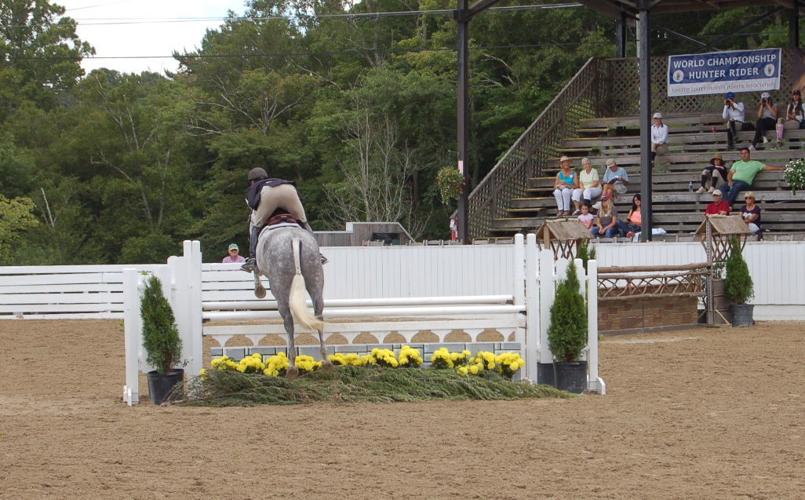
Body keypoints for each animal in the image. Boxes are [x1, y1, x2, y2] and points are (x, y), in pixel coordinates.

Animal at [254, 223, 328, 377]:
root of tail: (294, 238)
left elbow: (256, 271)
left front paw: (259, 291)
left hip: (280, 289)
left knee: (288, 321)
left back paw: (292, 366)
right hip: (315, 275)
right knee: (319, 313)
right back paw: (326, 360)